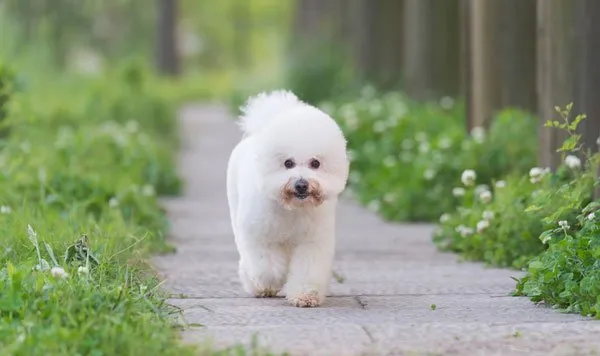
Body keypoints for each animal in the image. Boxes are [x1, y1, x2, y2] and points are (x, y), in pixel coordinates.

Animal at [226, 90, 350, 308]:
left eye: (315, 163)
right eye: (288, 163)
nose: (301, 184)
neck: (293, 208)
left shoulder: (312, 240)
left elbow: (308, 268)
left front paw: (304, 295)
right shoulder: (261, 235)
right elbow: (267, 267)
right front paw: (271, 282)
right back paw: (257, 286)